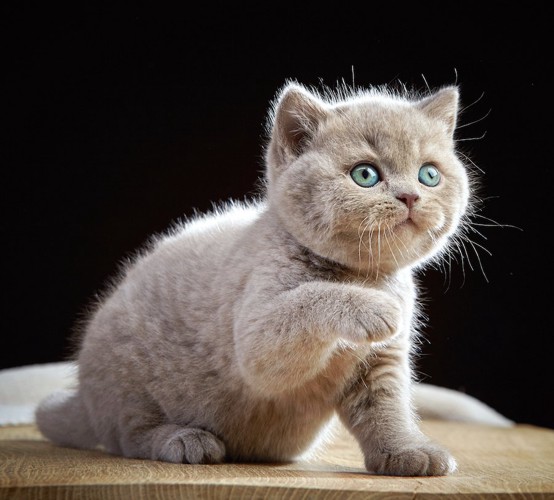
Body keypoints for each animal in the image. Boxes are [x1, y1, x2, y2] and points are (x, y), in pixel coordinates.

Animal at [36, 81, 476, 476]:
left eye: (428, 175)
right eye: (365, 174)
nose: (410, 196)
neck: (364, 274)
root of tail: (85, 397)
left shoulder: (382, 360)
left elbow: (386, 408)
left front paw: (407, 452)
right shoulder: (255, 329)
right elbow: (304, 305)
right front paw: (372, 306)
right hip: (126, 379)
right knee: (129, 435)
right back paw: (184, 439)